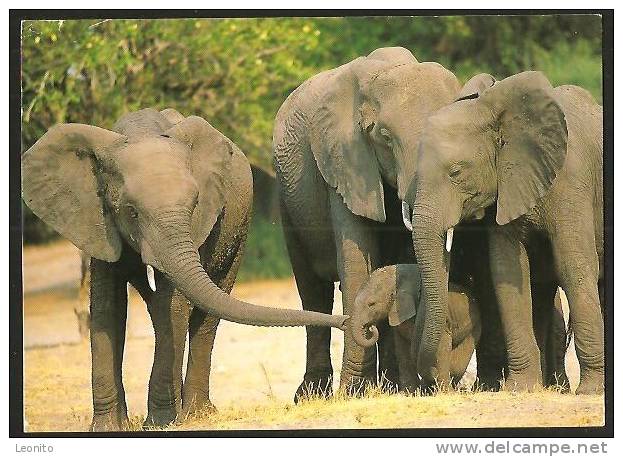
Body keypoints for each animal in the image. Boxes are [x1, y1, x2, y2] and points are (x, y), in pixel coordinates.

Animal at [19, 108, 348, 430]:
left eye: (194, 204)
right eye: (130, 211)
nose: (346, 322)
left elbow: (172, 304)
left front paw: (159, 424)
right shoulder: (96, 221)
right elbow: (107, 307)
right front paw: (108, 428)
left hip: (239, 228)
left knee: (206, 310)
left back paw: (194, 414)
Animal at [354, 264, 480, 392]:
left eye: (371, 304)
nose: (371, 327)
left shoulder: (444, 322)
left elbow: (441, 351)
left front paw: (445, 392)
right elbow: (403, 351)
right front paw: (408, 392)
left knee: (458, 363)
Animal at [400, 70, 604, 392]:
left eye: (456, 172)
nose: (436, 384)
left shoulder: (572, 180)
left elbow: (574, 266)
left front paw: (591, 391)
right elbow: (507, 271)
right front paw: (521, 388)